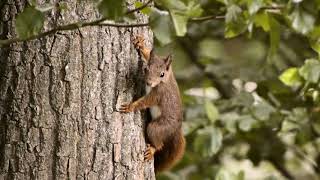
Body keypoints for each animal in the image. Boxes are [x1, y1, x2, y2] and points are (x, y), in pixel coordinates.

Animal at [119, 35, 185, 173]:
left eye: (162, 74)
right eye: (146, 69)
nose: (149, 82)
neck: (164, 80)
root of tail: (176, 130)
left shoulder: (158, 95)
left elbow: (145, 102)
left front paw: (130, 106)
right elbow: (151, 55)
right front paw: (141, 45)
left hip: (160, 127)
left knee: (159, 143)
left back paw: (152, 149)